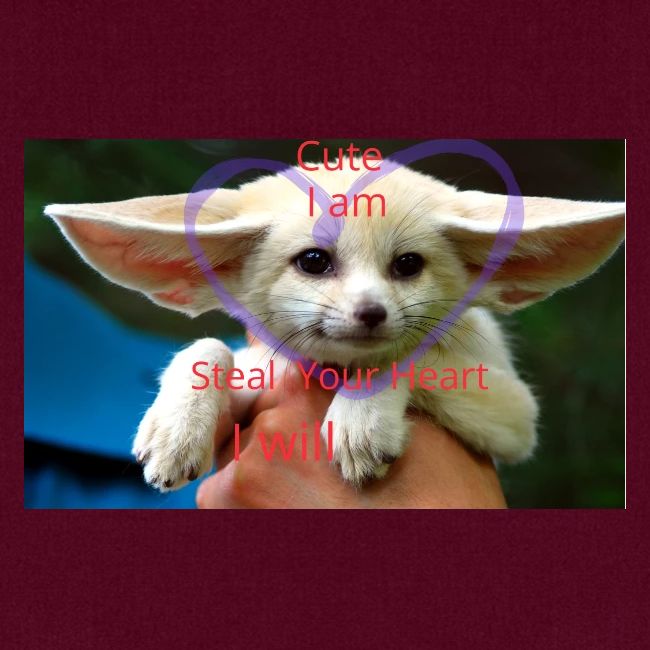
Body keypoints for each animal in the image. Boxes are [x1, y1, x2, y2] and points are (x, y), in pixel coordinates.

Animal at [45, 160, 625, 489]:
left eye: (408, 265)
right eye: (314, 261)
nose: (371, 313)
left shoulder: (517, 417)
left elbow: (407, 355)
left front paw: (361, 421)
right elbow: (208, 345)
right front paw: (175, 431)